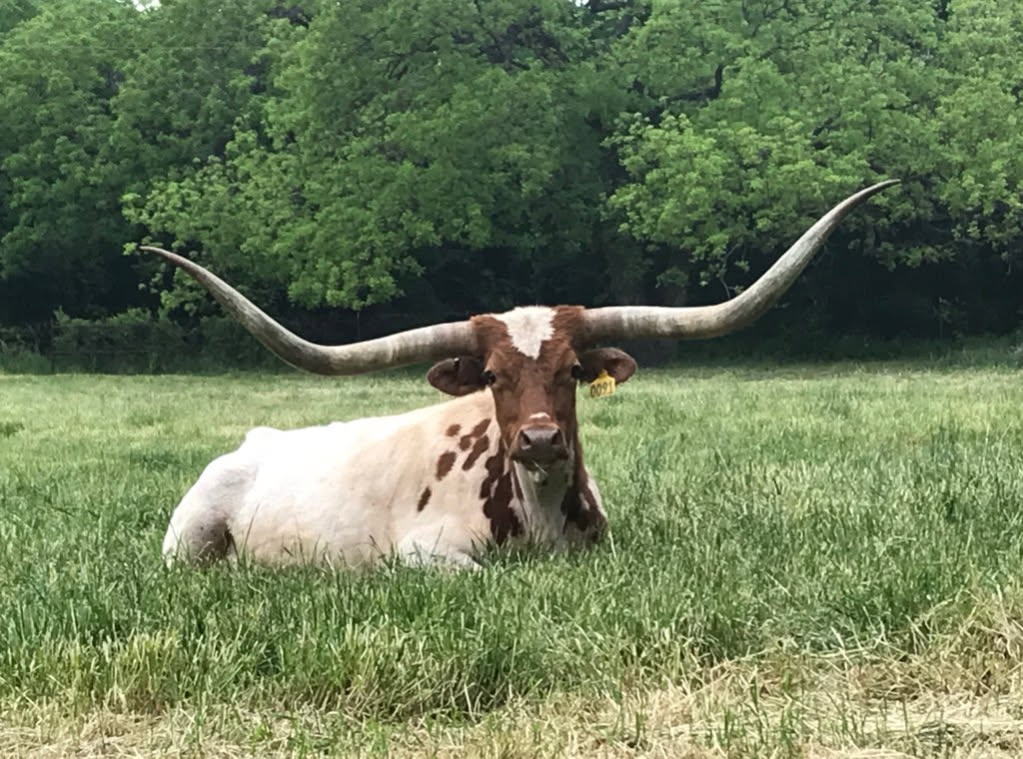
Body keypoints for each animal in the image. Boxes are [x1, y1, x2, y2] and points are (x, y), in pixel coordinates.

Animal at [146, 180, 896, 569]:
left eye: (570, 369)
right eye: (493, 375)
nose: (537, 440)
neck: (537, 516)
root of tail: (257, 440)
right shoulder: (423, 555)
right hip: (185, 541)